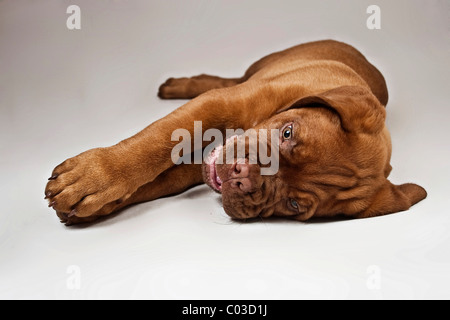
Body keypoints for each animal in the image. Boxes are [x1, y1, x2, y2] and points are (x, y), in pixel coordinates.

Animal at [45, 40, 428, 225]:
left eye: (294, 205)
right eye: (287, 133)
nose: (242, 176)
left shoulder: (195, 168)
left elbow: (159, 182)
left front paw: (96, 204)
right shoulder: (218, 104)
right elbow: (156, 140)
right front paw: (96, 176)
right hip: (256, 69)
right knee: (227, 79)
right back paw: (178, 85)